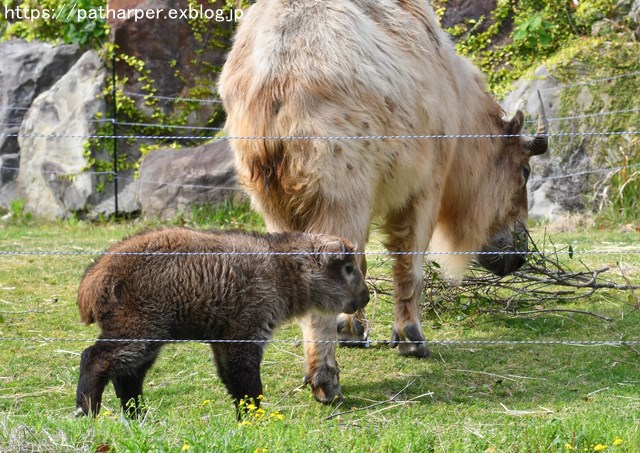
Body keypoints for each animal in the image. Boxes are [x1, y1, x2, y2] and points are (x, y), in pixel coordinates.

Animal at [74, 228, 370, 418]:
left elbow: (232, 381)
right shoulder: (246, 334)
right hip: (139, 330)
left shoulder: (223, 340)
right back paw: (87, 411)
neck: (280, 269)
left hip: (148, 336)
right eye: (348, 268)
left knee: (128, 377)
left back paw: (138, 417)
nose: (365, 297)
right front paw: (255, 420)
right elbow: (248, 386)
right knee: (95, 358)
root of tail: (94, 279)